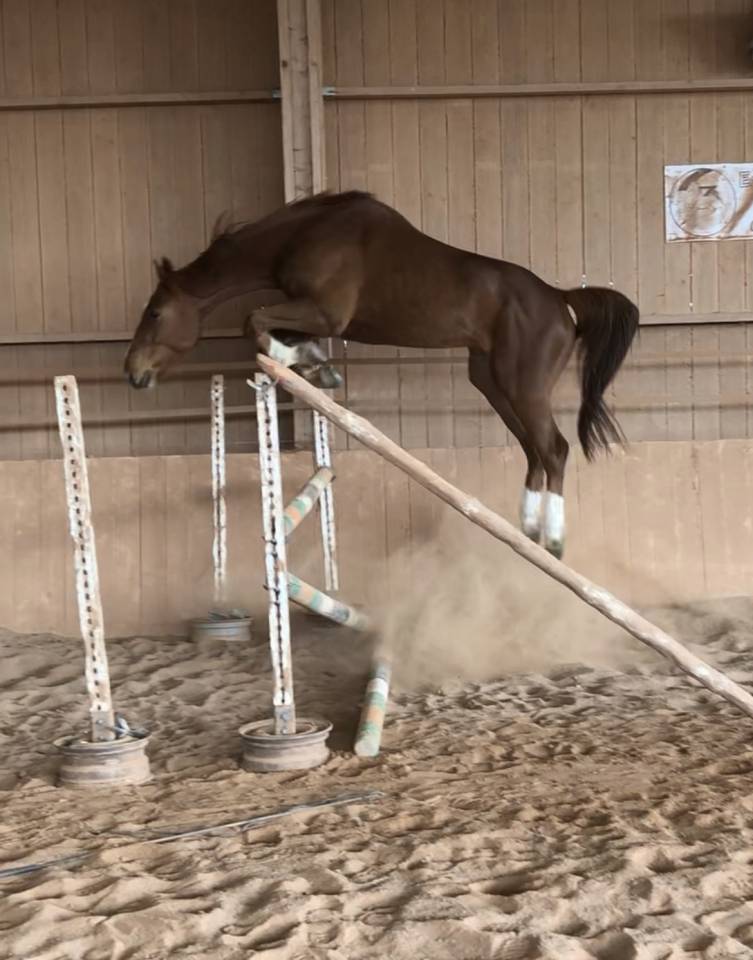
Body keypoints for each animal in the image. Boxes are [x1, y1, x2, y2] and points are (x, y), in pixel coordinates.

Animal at [124, 190, 639, 558]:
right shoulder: (313, 314)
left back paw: (554, 540)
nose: (133, 373)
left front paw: (301, 362)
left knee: (554, 449)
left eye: (154, 313)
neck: (304, 235)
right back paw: (528, 532)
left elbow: (254, 321)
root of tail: (560, 299)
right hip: (491, 382)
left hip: (522, 385)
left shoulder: (327, 313)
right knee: (534, 452)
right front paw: (316, 366)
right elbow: (273, 327)